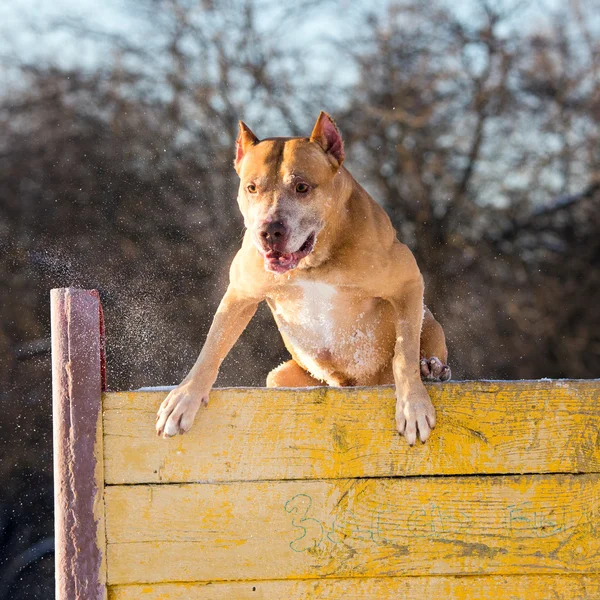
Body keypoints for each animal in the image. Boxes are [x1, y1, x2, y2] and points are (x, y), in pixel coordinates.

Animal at [156, 111, 450, 446]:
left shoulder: (407, 282)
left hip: (430, 323)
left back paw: (431, 369)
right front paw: (184, 397)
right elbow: (212, 346)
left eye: (301, 187)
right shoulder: (241, 294)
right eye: (252, 187)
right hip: (280, 376)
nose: (270, 231)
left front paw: (413, 406)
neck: (313, 260)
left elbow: (404, 354)